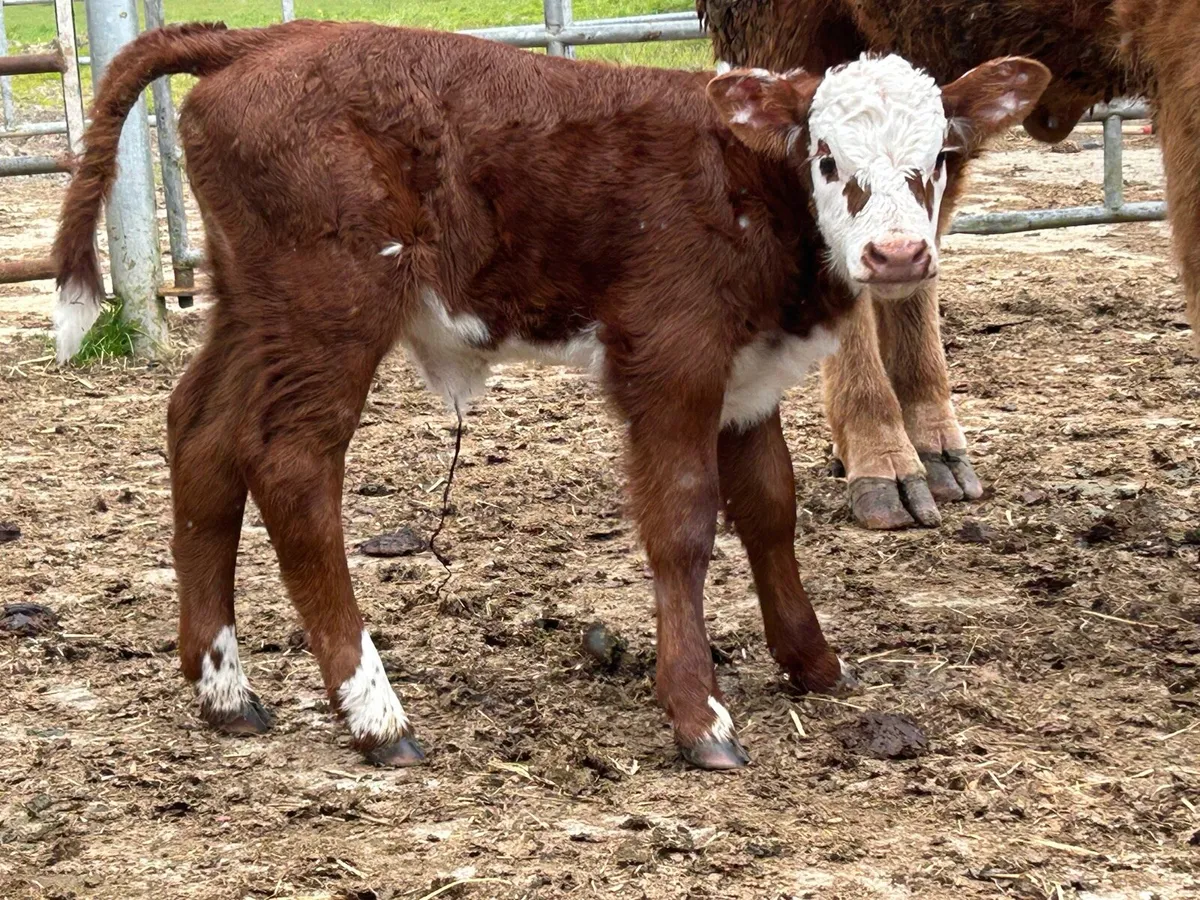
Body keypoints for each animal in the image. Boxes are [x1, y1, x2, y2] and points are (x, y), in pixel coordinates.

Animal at [52, 20, 1048, 769]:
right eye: (829, 156)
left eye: (941, 153)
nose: (897, 255)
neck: (746, 180)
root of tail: (258, 37)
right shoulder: (672, 363)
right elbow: (684, 525)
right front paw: (698, 713)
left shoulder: (748, 373)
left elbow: (771, 507)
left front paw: (812, 660)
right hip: (328, 310)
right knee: (293, 468)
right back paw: (374, 713)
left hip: (252, 306)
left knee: (201, 436)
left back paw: (225, 689)